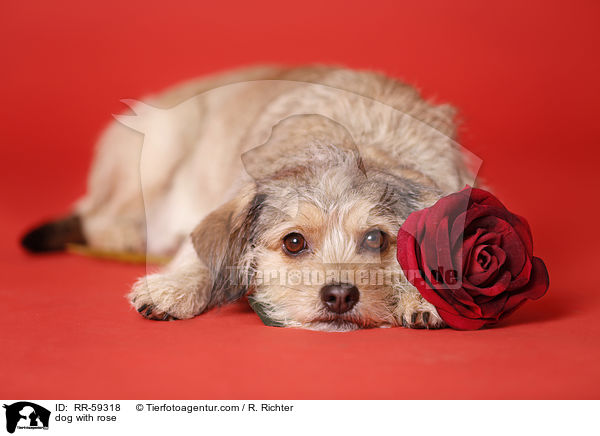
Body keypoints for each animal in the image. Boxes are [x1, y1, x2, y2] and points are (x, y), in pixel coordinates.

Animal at [21, 64, 476, 330]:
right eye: (294, 242)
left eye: (376, 238)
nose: (340, 295)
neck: (355, 142)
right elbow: (200, 255)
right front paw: (173, 287)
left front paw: (423, 297)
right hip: (159, 149)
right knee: (100, 217)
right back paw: (124, 234)